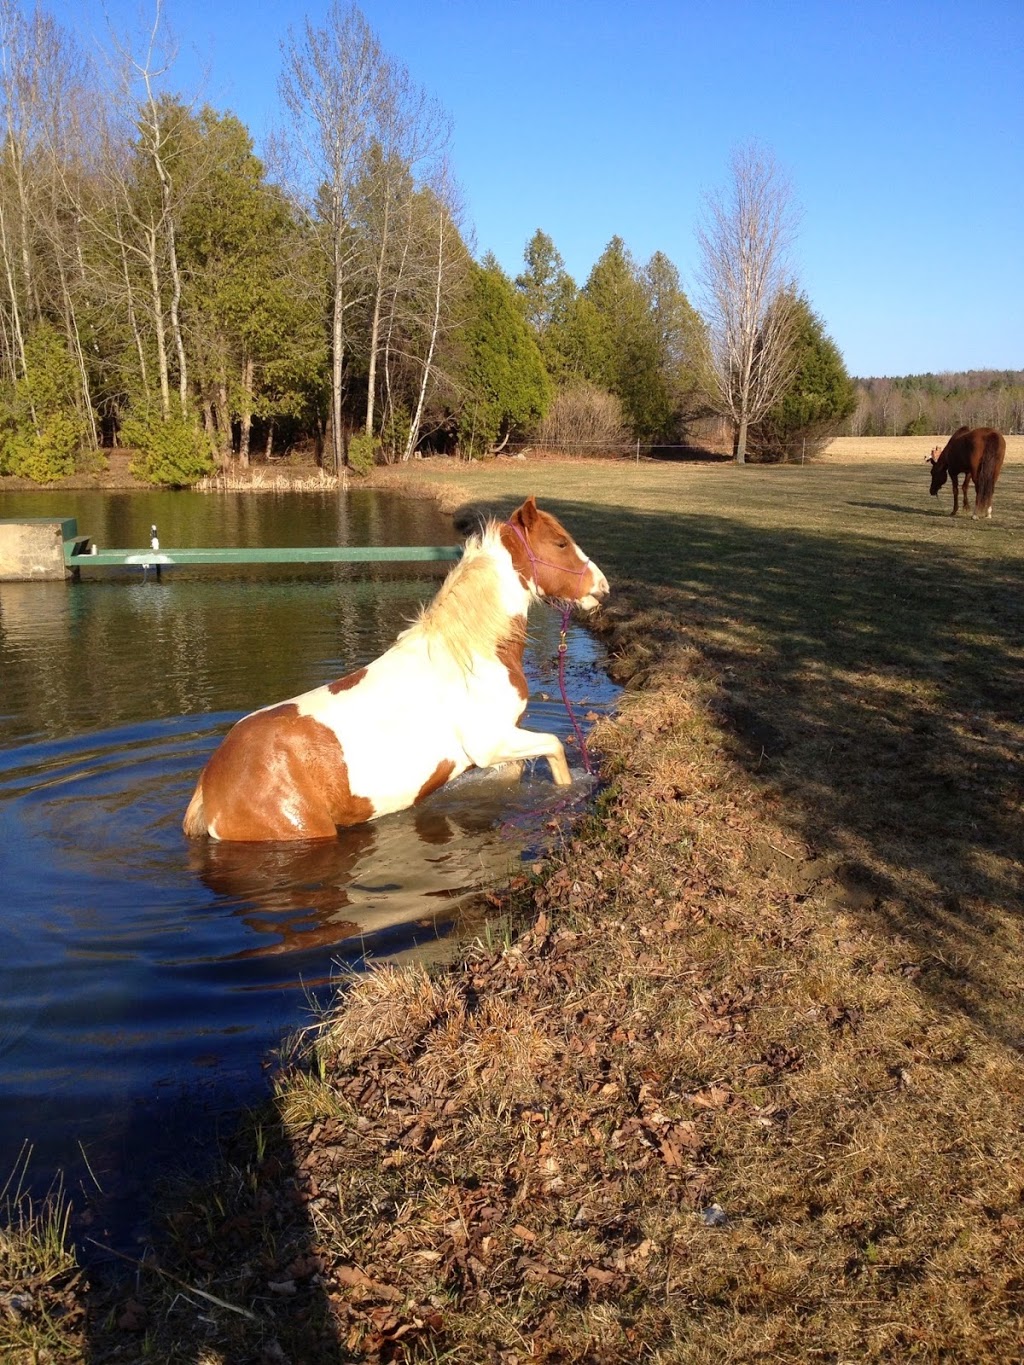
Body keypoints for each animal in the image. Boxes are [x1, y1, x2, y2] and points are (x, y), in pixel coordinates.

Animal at [182, 499, 608, 840]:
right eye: (560, 543)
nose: (602, 588)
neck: (471, 654)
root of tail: (210, 786)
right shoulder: (493, 743)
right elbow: (555, 748)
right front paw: (567, 793)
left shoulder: (497, 748)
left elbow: (518, 769)